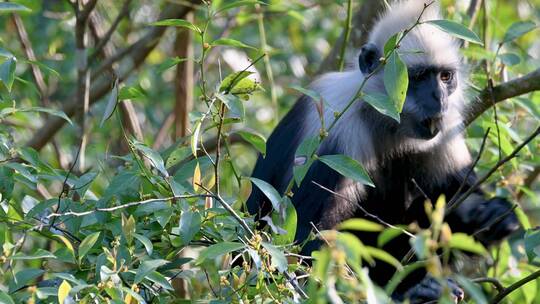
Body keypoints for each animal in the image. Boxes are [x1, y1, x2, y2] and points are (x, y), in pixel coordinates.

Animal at [245, 1, 520, 302]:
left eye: (445, 77)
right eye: (418, 77)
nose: (440, 98)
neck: (385, 121)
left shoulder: (444, 130)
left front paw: (489, 214)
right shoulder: (335, 131)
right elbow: (304, 239)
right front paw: (407, 292)